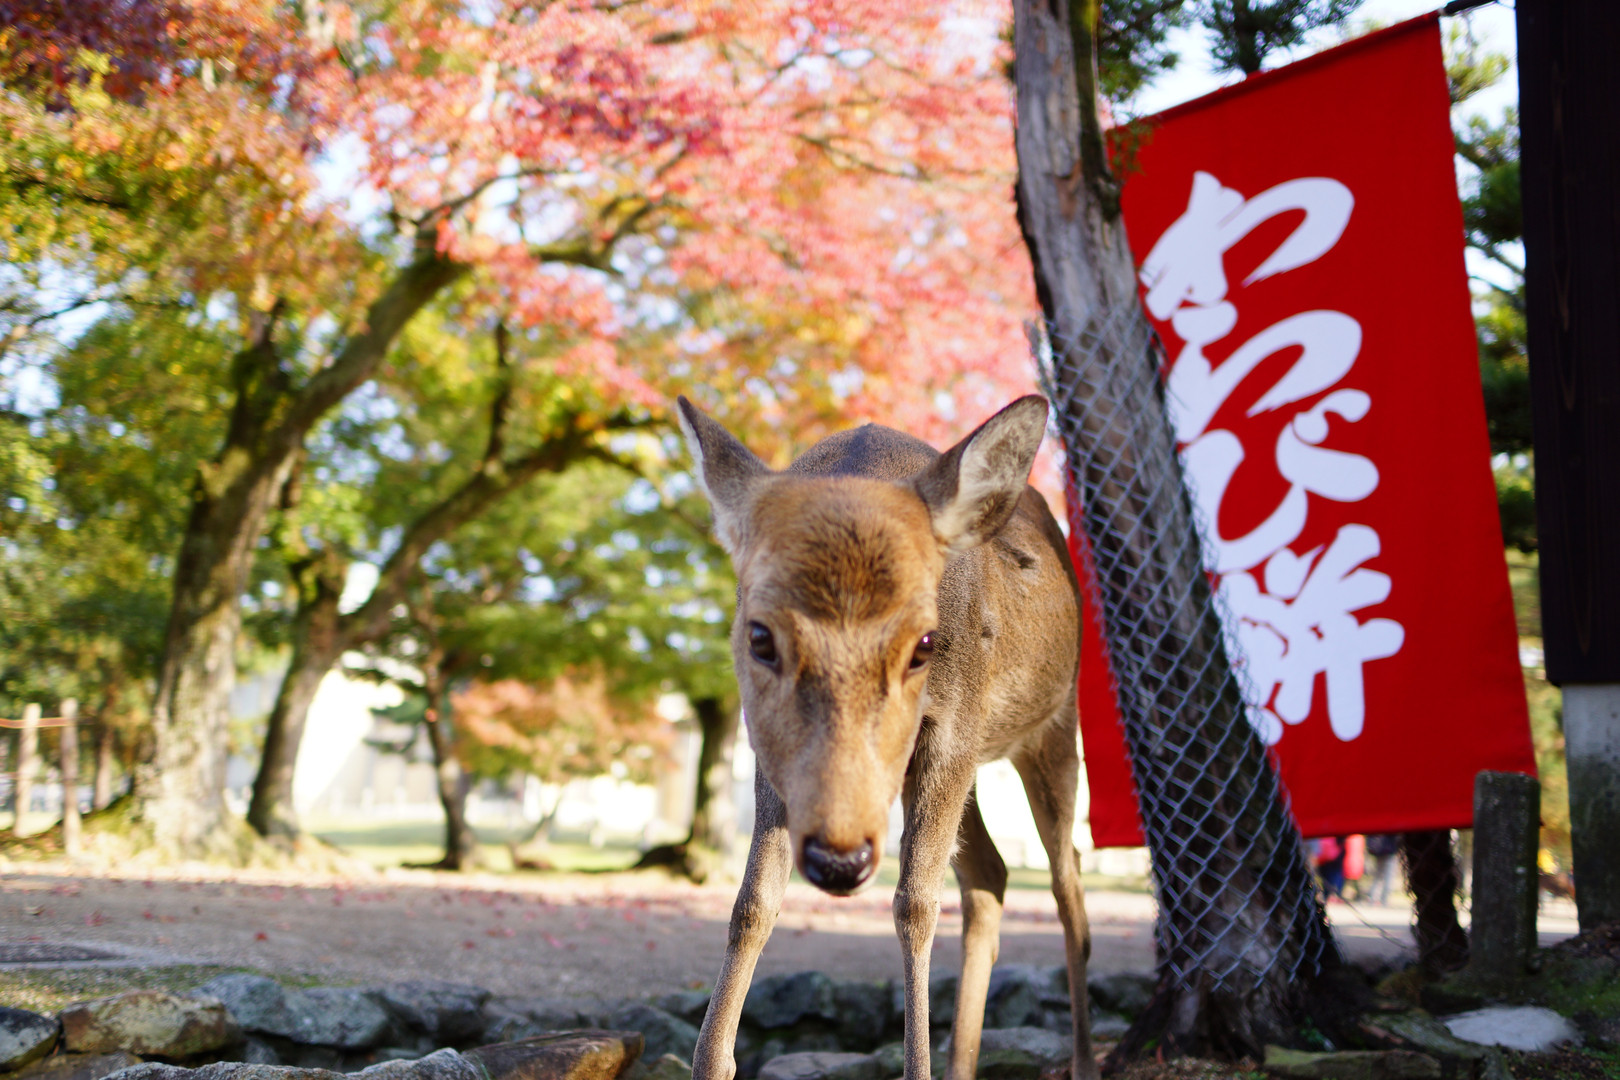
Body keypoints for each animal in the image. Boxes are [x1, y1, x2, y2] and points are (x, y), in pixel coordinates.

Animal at [676, 394, 1096, 1080]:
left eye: (924, 642)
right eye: (760, 637)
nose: (840, 860)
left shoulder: (952, 730)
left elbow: (915, 903)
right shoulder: (767, 743)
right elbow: (753, 900)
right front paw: (712, 1063)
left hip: (1050, 727)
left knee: (1069, 885)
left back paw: (1083, 1060)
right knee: (991, 875)